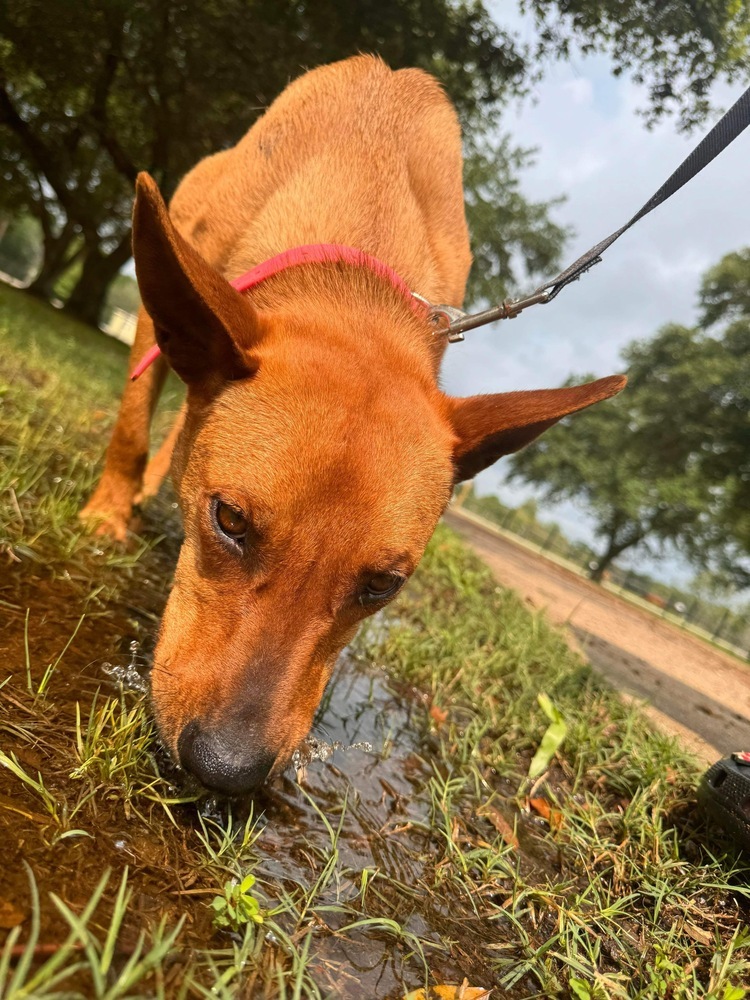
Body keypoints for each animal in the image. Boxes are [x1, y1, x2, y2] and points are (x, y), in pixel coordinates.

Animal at [82, 54, 624, 792]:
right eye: (229, 521)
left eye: (381, 586)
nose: (226, 767)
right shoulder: (157, 314)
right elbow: (133, 428)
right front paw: (107, 514)